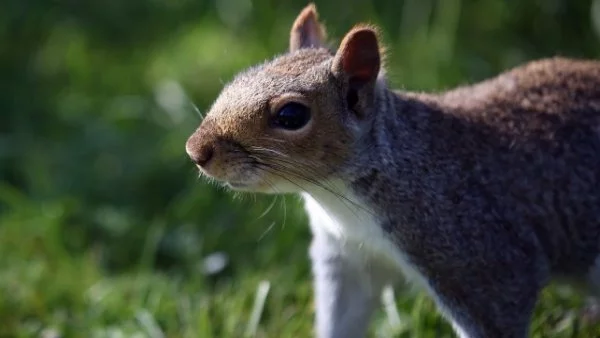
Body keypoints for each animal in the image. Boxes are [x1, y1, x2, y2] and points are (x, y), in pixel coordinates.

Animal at [185, 3, 600, 338]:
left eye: (291, 115)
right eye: (238, 79)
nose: (195, 150)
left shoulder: (481, 260)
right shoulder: (349, 258)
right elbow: (343, 318)